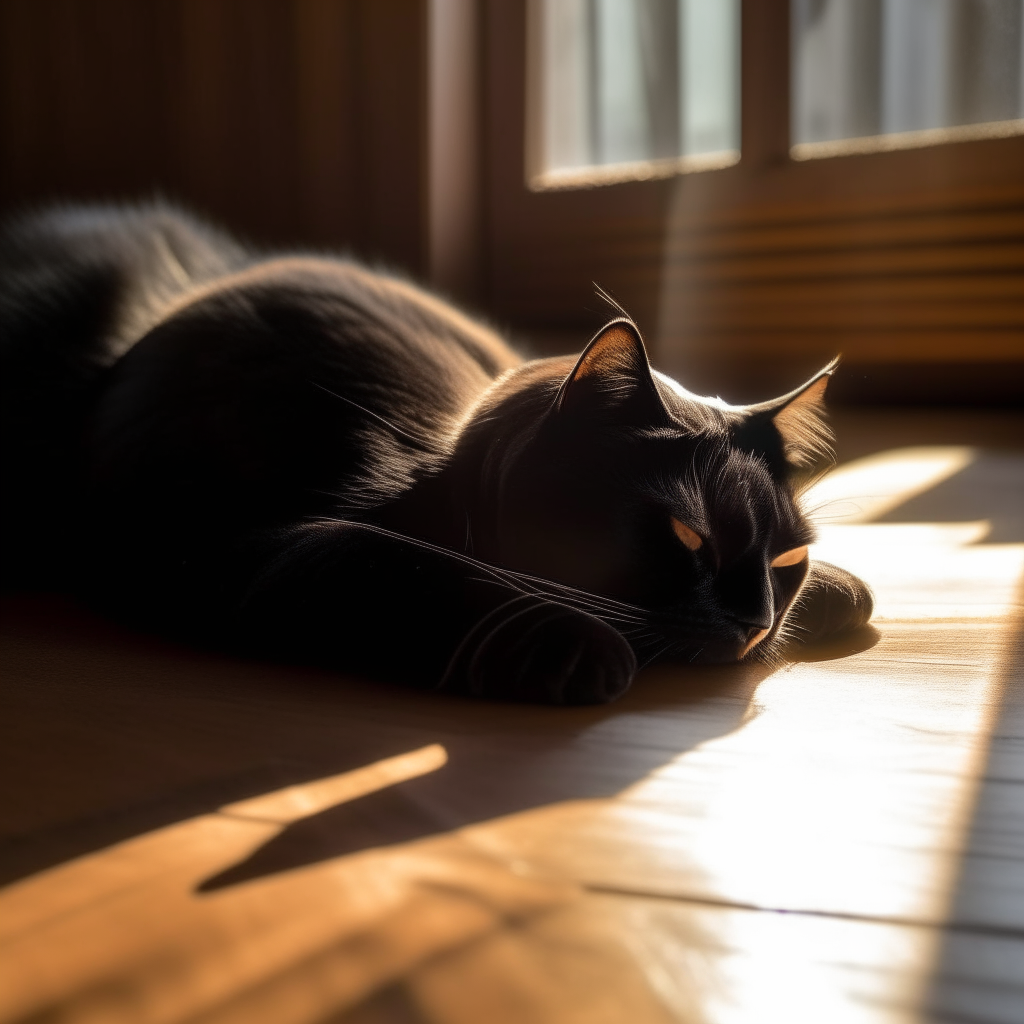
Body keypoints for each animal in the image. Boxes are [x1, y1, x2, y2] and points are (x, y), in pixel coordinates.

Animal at [0, 207, 872, 704]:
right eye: (687, 537)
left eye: (787, 558)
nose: (757, 622)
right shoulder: (233, 545)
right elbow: (418, 565)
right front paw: (576, 641)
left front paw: (840, 588)